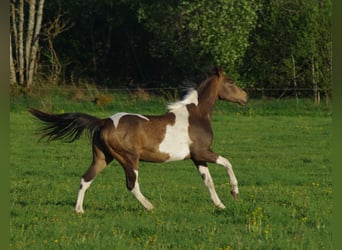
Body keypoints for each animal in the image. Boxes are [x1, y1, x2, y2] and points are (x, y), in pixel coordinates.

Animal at [28, 67, 248, 214]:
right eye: (230, 82)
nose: (245, 97)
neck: (196, 115)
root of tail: (104, 121)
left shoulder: (197, 157)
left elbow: (208, 181)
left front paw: (220, 205)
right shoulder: (202, 152)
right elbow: (228, 163)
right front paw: (235, 192)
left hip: (102, 158)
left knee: (85, 178)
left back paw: (79, 210)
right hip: (129, 159)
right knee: (132, 184)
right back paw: (150, 206)